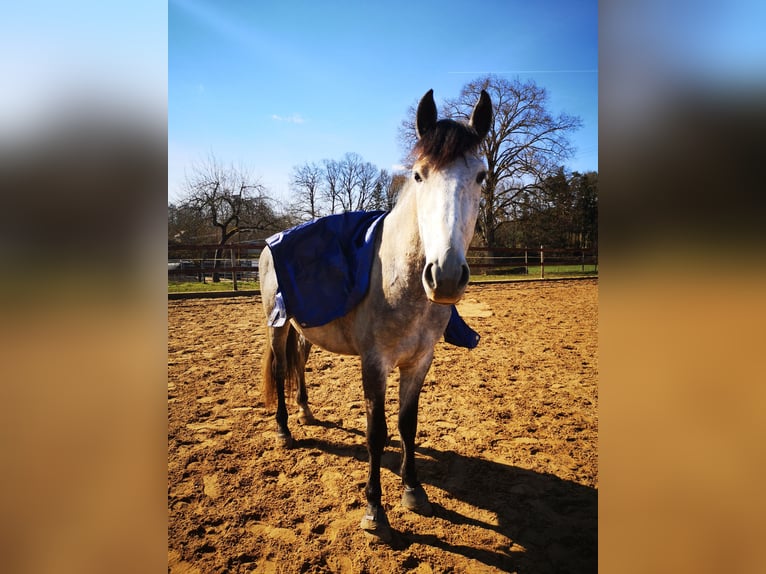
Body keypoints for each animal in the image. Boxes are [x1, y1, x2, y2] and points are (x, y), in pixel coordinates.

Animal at [259, 88, 492, 543]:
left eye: (481, 176)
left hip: (304, 330)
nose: (445, 275)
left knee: (300, 362)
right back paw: (283, 429)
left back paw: (306, 411)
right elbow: (376, 433)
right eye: (418, 175)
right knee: (280, 369)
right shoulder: (375, 363)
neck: (400, 278)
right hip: (277, 327)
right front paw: (375, 510)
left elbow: (407, 426)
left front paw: (414, 491)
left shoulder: (419, 362)